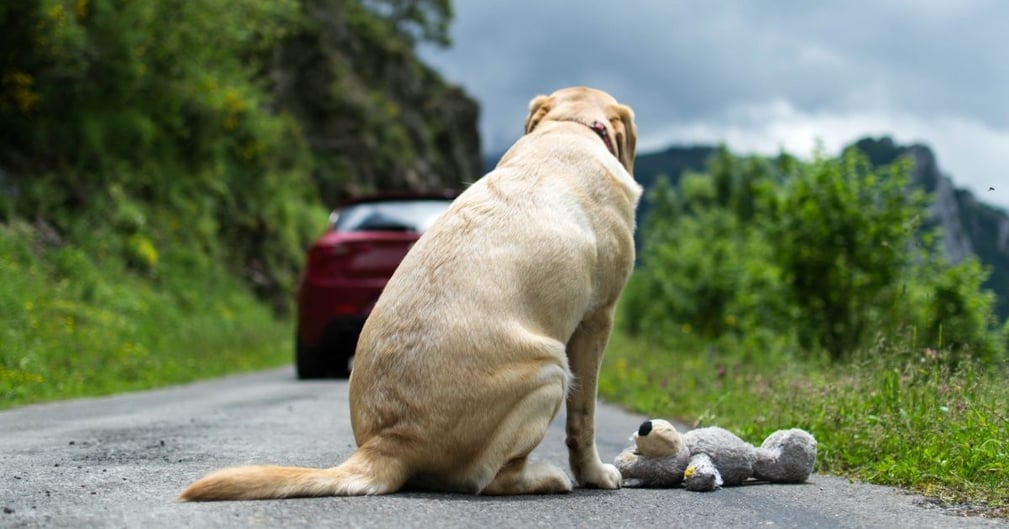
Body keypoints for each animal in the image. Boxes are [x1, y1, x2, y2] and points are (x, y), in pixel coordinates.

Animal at [179, 85, 637, 500]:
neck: (568, 126)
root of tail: (389, 442)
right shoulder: (598, 319)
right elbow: (584, 417)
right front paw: (596, 474)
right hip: (551, 369)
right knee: (489, 478)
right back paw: (548, 477)